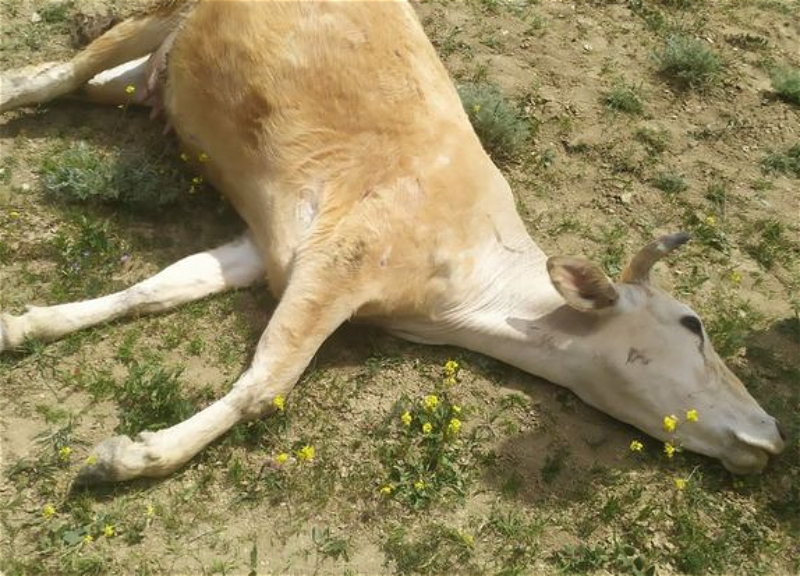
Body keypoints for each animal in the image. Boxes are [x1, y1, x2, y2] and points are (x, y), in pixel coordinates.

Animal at [0, 0, 785, 486]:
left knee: (97, 82)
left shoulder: (272, 247)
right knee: (47, 76)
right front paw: (129, 457)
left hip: (147, 77)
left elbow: (156, 290)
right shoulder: (342, 257)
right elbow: (266, 384)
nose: (775, 433)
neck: (453, 301)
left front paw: (24, 325)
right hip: (163, 10)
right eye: (693, 323)